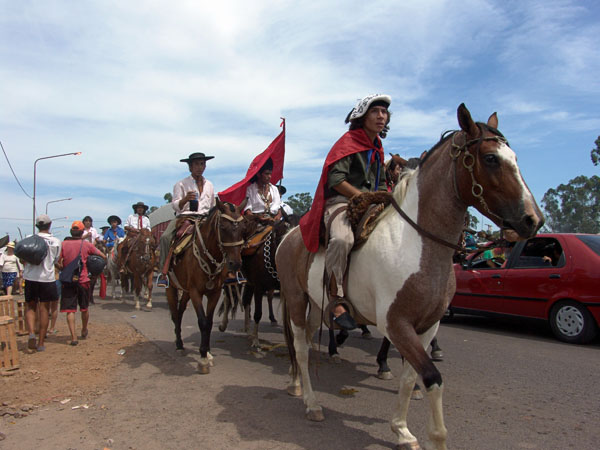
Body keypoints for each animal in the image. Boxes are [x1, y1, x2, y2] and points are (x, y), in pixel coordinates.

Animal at [165, 200, 245, 372]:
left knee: (180, 312)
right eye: (223, 227)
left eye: (243, 229)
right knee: (175, 314)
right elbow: (202, 322)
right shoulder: (196, 292)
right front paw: (202, 359)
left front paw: (207, 352)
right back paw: (179, 344)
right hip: (171, 288)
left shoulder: (214, 293)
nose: (235, 264)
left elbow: (208, 322)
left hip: (185, 291)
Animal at [276, 103, 544, 448]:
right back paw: (311, 403)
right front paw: (435, 437)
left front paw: (401, 430)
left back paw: (299, 385)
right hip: (296, 300)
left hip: (318, 305)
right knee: (300, 348)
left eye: (514, 157)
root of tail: (288, 236)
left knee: (308, 344)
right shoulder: (396, 323)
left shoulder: (428, 325)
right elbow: (431, 377)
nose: (532, 220)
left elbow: (410, 377)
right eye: (490, 158)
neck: (415, 242)